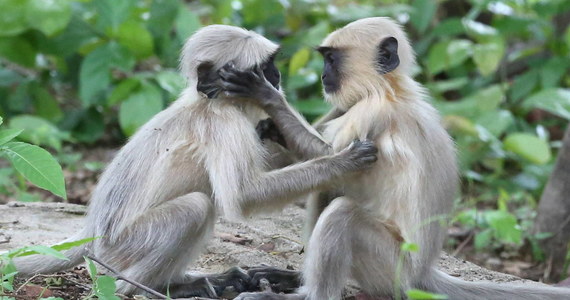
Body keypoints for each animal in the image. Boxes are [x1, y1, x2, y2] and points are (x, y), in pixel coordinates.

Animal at [10, 24, 378, 298]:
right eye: (263, 67)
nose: (276, 76)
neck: (211, 101)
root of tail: (93, 234)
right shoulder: (223, 122)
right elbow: (241, 196)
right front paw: (343, 162)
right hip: (125, 246)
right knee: (196, 207)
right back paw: (144, 288)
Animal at [216, 17, 568, 300]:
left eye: (331, 59)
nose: (323, 75)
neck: (390, 88)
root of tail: (422, 273)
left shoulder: (373, 109)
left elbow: (335, 157)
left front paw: (267, 97)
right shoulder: (348, 106)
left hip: (392, 268)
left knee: (342, 211)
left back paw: (308, 293)